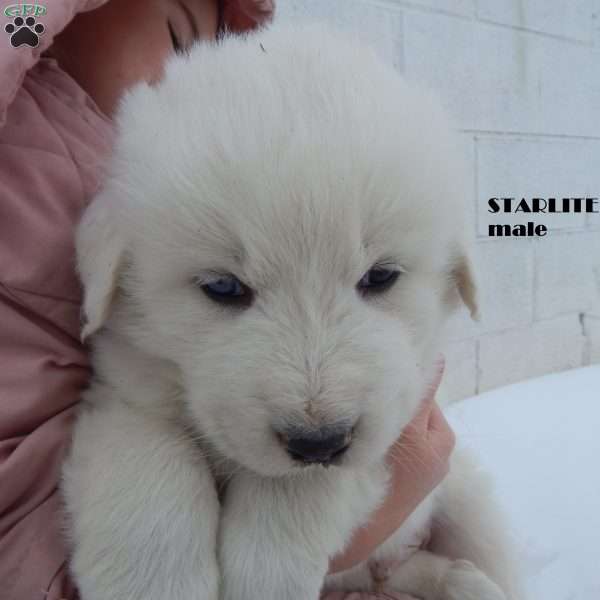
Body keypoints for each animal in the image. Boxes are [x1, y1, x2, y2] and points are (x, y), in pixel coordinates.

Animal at [63, 24, 524, 600]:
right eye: (222, 287)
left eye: (381, 277)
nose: (318, 441)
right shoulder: (122, 394)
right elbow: (146, 474)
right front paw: (157, 584)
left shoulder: (397, 419)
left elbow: (291, 497)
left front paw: (264, 574)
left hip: (469, 503)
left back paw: (469, 581)